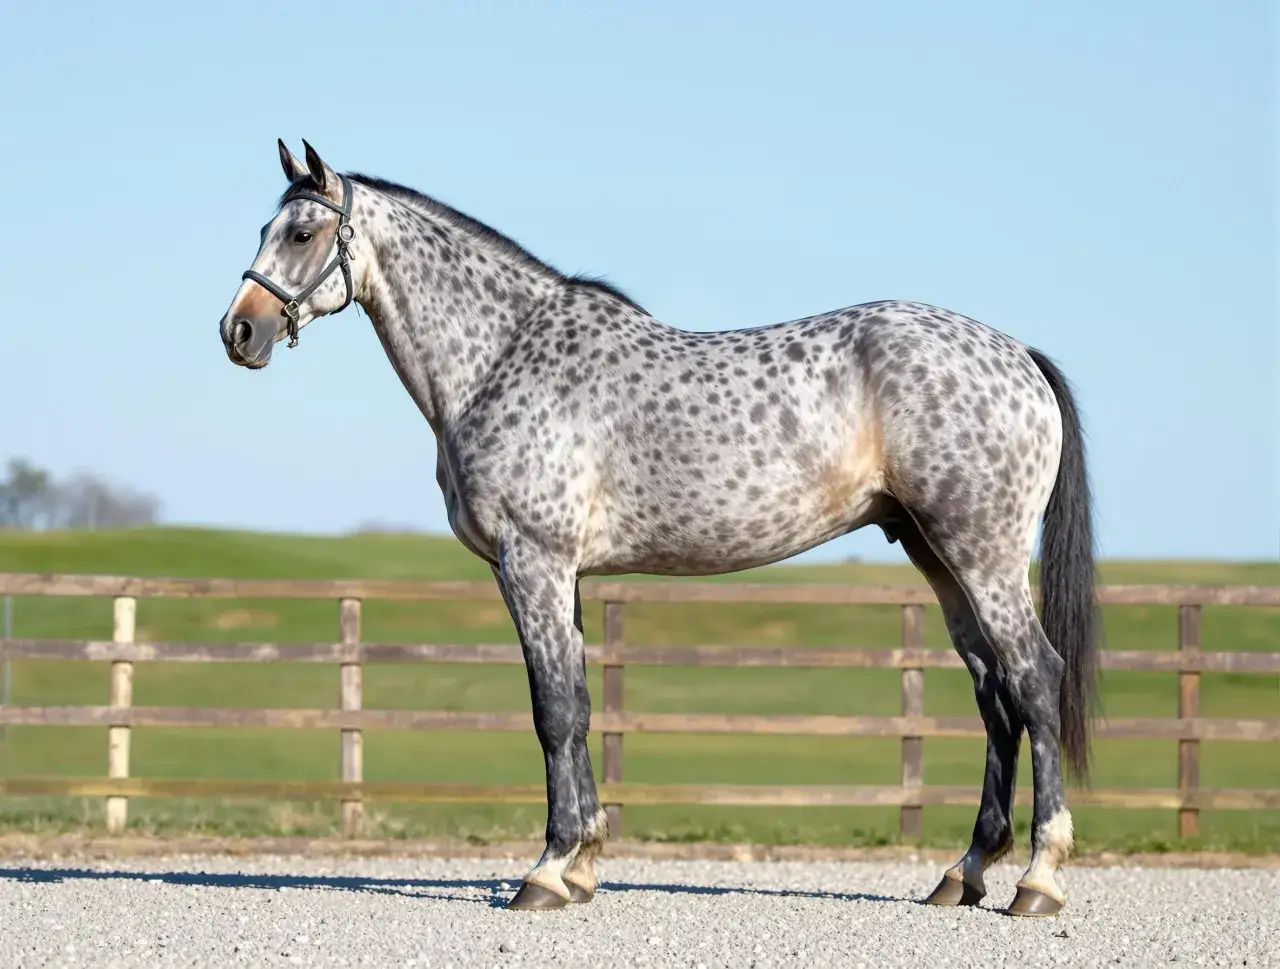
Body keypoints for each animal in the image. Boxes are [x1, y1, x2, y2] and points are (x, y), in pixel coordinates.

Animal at [219, 139, 1099, 918]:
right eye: (265, 229)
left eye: (302, 233)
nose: (239, 332)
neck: (502, 356)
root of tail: (1017, 354)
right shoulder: (562, 574)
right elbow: (576, 707)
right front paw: (581, 866)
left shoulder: (531, 562)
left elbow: (552, 712)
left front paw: (545, 872)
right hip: (936, 555)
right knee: (994, 696)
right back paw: (965, 870)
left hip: (980, 553)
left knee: (1034, 679)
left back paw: (1038, 880)